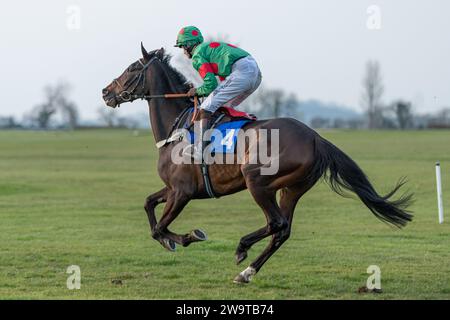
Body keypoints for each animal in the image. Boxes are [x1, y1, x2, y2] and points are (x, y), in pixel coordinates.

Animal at [103, 43, 414, 284]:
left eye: (131, 69)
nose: (106, 92)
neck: (176, 127)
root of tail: (316, 138)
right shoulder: (172, 188)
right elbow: (148, 204)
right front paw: (173, 239)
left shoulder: (183, 192)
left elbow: (158, 227)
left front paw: (190, 236)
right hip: (291, 189)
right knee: (282, 230)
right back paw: (246, 273)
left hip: (258, 182)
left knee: (276, 222)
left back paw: (242, 248)